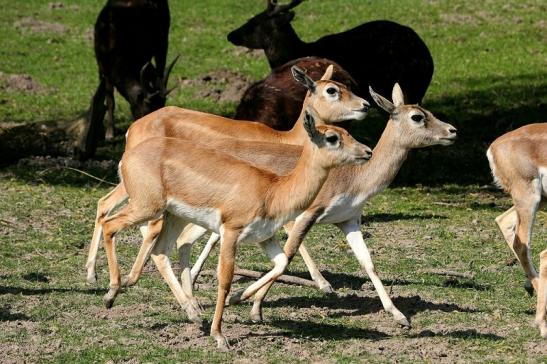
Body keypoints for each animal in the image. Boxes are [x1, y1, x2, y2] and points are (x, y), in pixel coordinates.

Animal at [85, 65, 370, 284]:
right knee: (127, 216)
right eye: (332, 90)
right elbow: (292, 232)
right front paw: (323, 283)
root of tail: (133, 127)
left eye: (342, 85)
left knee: (105, 206)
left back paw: (94, 274)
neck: (285, 138)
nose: (365, 105)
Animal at [99, 111, 372, 350]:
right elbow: (225, 280)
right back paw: (111, 294)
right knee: (109, 223)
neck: (272, 191)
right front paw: (220, 336)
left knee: (160, 251)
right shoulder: (231, 232)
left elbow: (281, 264)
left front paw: (239, 299)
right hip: (147, 207)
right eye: (332, 137)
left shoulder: (265, 237)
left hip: (172, 216)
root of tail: (128, 156)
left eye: (347, 132)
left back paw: (193, 313)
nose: (367, 151)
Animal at [124, 84, 458, 328]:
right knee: (178, 239)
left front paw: (400, 316)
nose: (452, 131)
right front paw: (251, 305)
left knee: (182, 241)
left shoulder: (349, 220)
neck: (353, 177)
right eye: (417, 116)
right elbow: (287, 256)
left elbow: (368, 264)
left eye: (426, 111)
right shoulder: (308, 215)